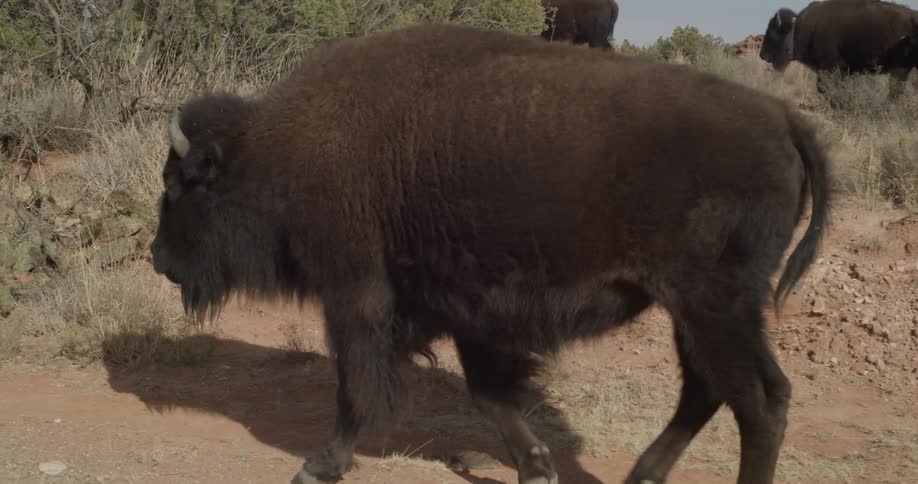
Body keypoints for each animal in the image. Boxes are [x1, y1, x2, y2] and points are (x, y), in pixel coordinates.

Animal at [151, 23, 829, 484]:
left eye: (179, 184)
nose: (158, 258)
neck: (283, 149)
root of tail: (782, 119)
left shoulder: (355, 298)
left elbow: (357, 387)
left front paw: (319, 464)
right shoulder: (467, 311)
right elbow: (488, 393)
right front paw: (536, 466)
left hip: (716, 306)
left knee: (760, 401)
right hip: (692, 311)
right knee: (707, 390)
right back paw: (641, 474)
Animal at [760, 0, 918, 100]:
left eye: (773, 33)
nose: (762, 55)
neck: (798, 28)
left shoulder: (831, 68)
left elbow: (825, 88)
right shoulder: (844, 71)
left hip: (899, 69)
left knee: (895, 92)